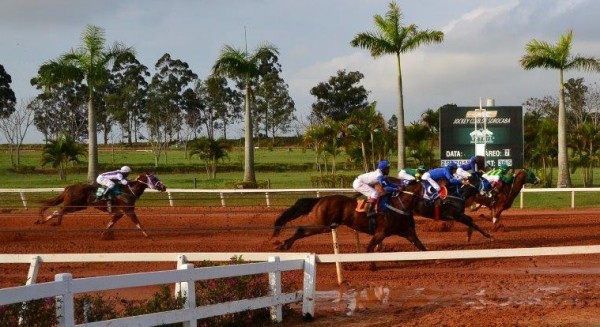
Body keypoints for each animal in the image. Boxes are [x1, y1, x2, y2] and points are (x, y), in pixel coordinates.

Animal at [35, 173, 166, 240]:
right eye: (154, 178)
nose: (164, 187)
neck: (128, 191)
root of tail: (69, 187)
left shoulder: (120, 212)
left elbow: (111, 223)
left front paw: (103, 235)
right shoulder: (128, 210)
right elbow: (138, 223)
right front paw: (147, 235)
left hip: (79, 206)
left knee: (58, 211)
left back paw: (42, 221)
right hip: (74, 205)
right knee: (59, 211)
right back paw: (54, 222)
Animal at [270, 188, 428, 255]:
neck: (399, 205)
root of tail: (320, 199)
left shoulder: (408, 232)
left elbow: (422, 248)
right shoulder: (380, 233)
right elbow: (369, 249)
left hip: (324, 225)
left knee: (302, 230)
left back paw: (284, 245)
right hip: (324, 225)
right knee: (301, 229)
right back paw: (284, 245)